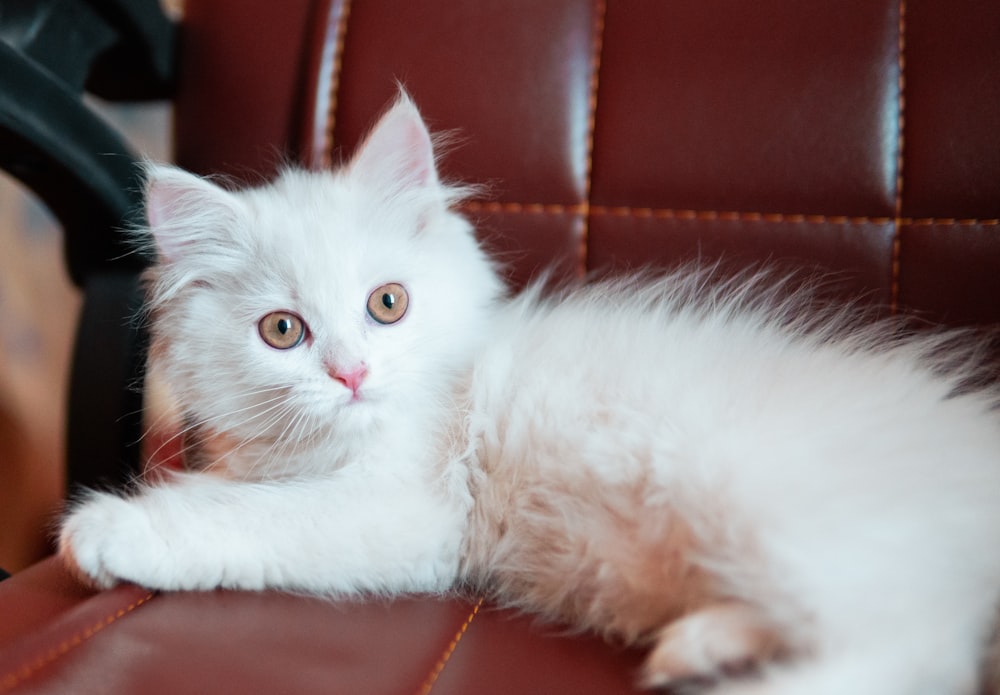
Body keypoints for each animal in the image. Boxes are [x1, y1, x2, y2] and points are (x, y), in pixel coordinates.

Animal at [60, 94, 1000, 695]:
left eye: (387, 304)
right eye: (283, 331)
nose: (353, 374)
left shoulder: (412, 511)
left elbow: (244, 518)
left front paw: (109, 529)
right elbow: (235, 493)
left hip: (773, 502)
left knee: (915, 648)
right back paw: (699, 646)